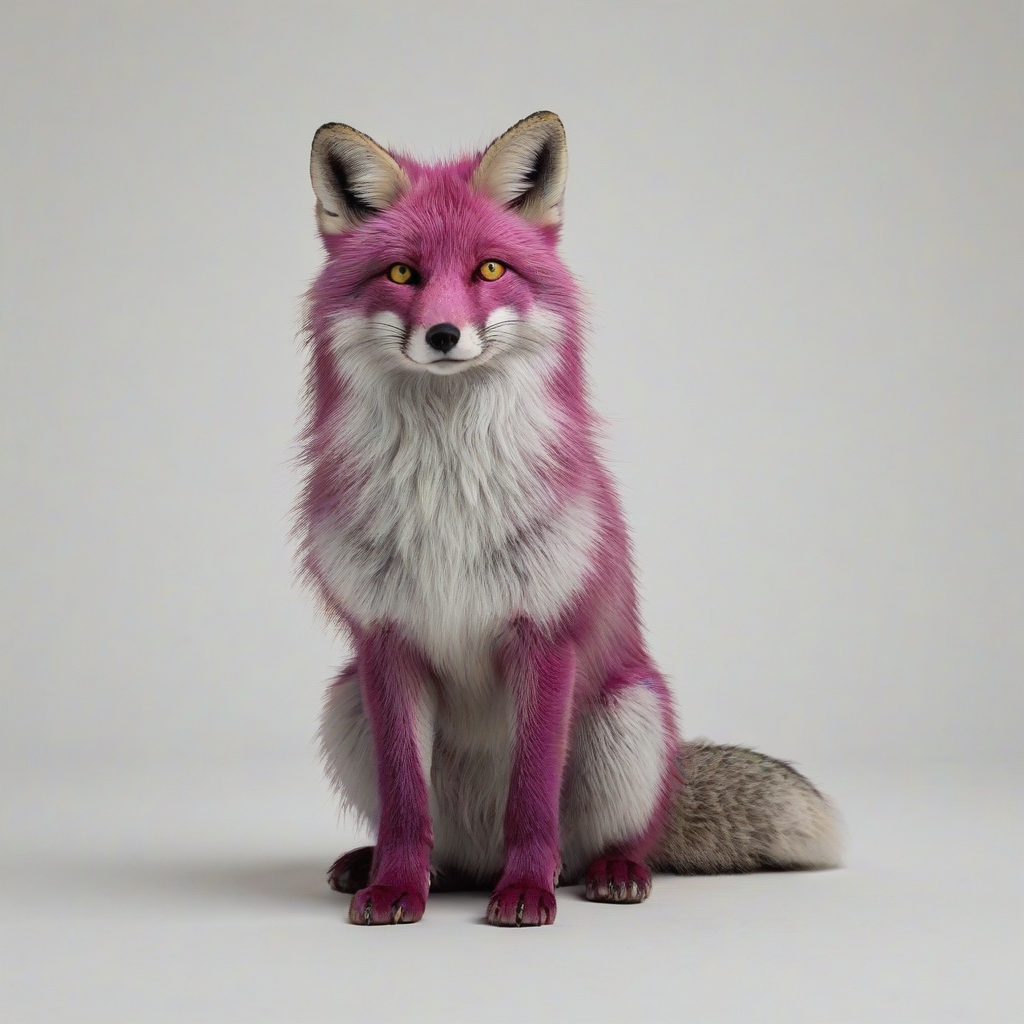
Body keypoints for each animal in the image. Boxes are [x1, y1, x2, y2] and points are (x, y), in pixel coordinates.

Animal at [300, 111, 842, 927]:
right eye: (401, 275)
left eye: (490, 270)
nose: (443, 336)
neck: (446, 492)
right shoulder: (386, 643)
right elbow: (404, 804)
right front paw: (395, 888)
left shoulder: (545, 634)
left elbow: (532, 798)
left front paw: (525, 893)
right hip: (345, 702)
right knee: (439, 844)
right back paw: (400, 870)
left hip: (629, 717)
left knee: (602, 843)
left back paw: (604, 872)